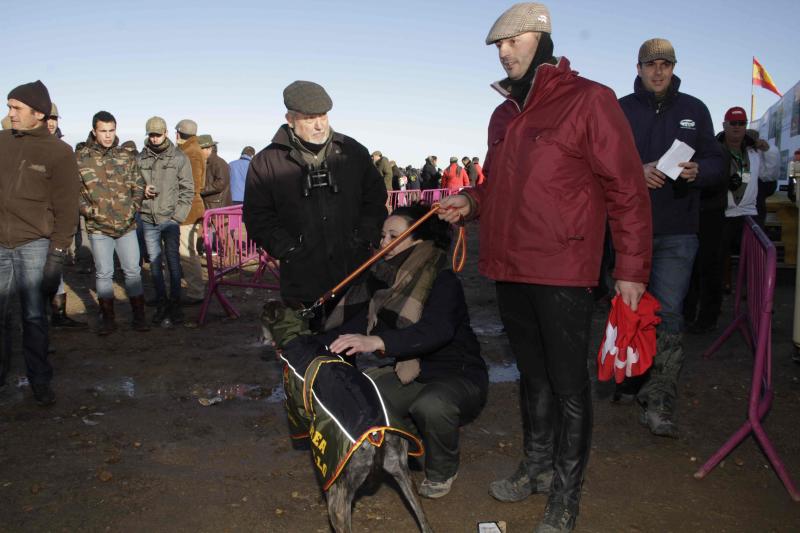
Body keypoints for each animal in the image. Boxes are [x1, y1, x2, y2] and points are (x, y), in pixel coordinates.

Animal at [260, 302, 434, 528]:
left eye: (261, 317)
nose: (260, 338)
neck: (296, 336)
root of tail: (376, 436)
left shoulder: (297, 416)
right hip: (402, 472)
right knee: (424, 521)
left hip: (339, 500)